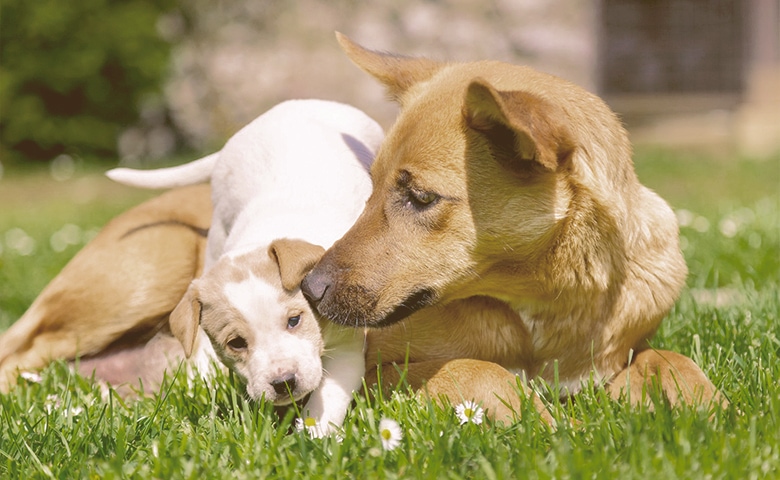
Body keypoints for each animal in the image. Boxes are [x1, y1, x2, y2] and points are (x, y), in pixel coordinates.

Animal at [107, 100, 384, 436]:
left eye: (294, 320)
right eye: (236, 343)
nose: (284, 382)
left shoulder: (346, 347)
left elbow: (327, 397)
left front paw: (313, 436)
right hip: (217, 233)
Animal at [304, 33, 724, 420]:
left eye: (421, 197)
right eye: (371, 187)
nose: (309, 289)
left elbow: (669, 359)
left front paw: (708, 407)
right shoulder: (372, 374)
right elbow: (477, 369)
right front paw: (545, 422)